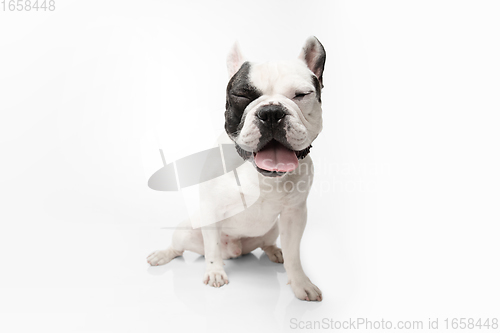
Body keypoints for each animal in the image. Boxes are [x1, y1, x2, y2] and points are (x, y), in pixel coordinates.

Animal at [147, 37, 328, 300]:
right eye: (242, 95)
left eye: (302, 95)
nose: (271, 112)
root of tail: (234, 250)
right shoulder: (211, 210)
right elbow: (212, 248)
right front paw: (214, 272)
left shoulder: (294, 215)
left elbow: (294, 254)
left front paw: (300, 283)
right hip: (186, 230)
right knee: (179, 246)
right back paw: (163, 254)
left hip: (273, 229)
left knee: (268, 243)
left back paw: (275, 251)